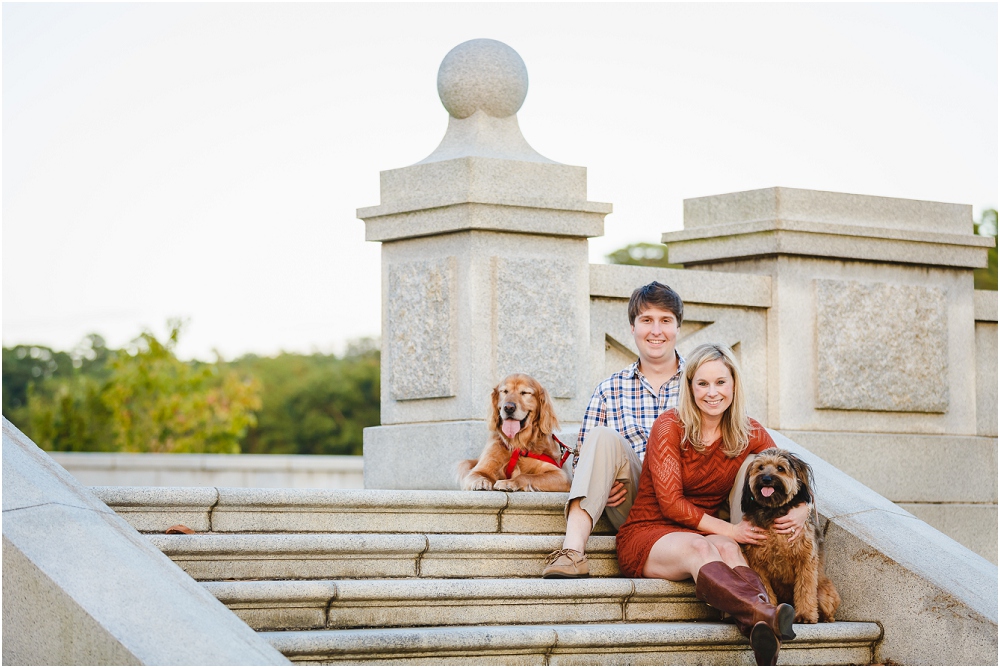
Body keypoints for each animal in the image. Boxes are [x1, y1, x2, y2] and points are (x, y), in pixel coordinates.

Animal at [740, 448, 840, 628]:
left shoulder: (805, 560)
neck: (773, 510)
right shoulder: (757, 563)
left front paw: (805, 615)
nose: (766, 479)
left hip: (823, 593)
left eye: (780, 468)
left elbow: (805, 590)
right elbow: (765, 590)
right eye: (760, 467)